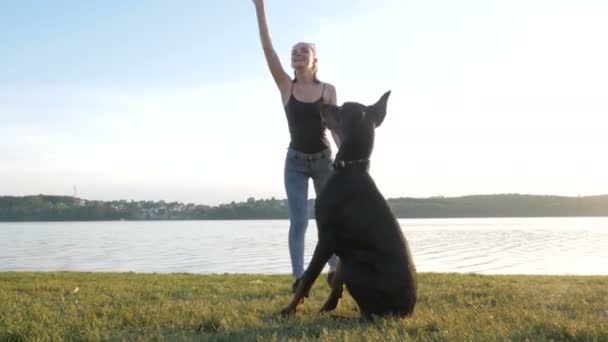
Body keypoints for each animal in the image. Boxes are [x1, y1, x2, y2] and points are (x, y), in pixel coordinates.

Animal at [282, 91, 418, 320]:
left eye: (341, 107)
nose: (321, 104)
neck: (350, 167)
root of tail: (404, 312)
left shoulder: (327, 238)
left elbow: (308, 278)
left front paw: (289, 309)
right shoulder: (341, 245)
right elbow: (336, 280)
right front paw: (326, 307)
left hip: (356, 262)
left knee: (369, 313)